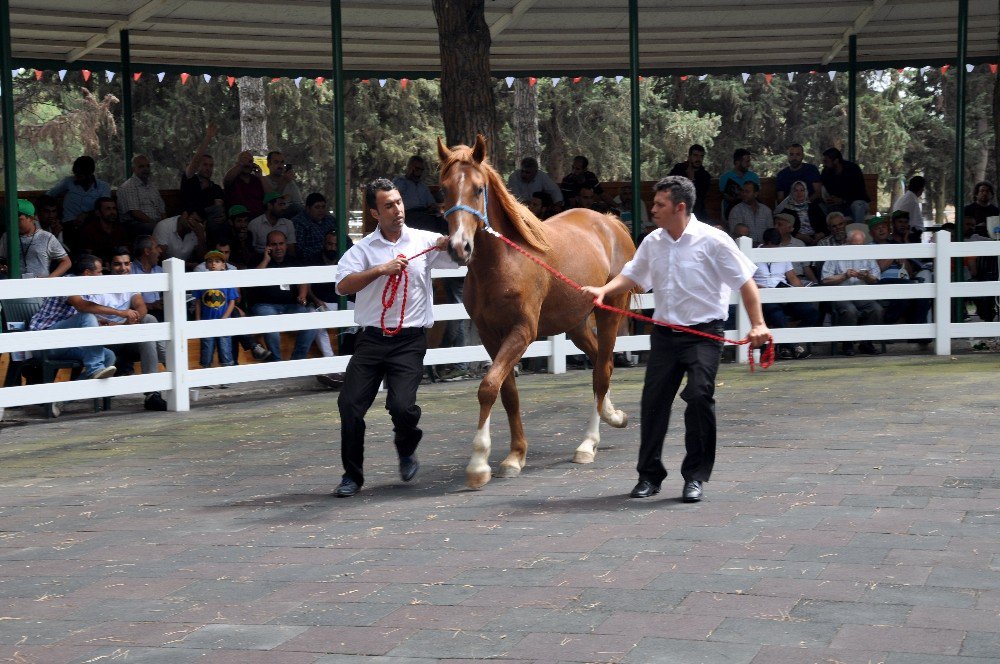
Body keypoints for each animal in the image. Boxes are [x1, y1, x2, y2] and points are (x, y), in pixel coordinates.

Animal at [436, 136, 632, 488]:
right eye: (444, 189)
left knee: (601, 372)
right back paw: (613, 416)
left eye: (478, 188)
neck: (503, 261)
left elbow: (488, 387)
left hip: (609, 313)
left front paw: (478, 463)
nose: (459, 247)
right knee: (603, 363)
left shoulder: (522, 332)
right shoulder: (490, 336)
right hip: (576, 324)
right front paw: (515, 455)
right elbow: (507, 393)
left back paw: (588, 443)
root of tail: (610, 222)